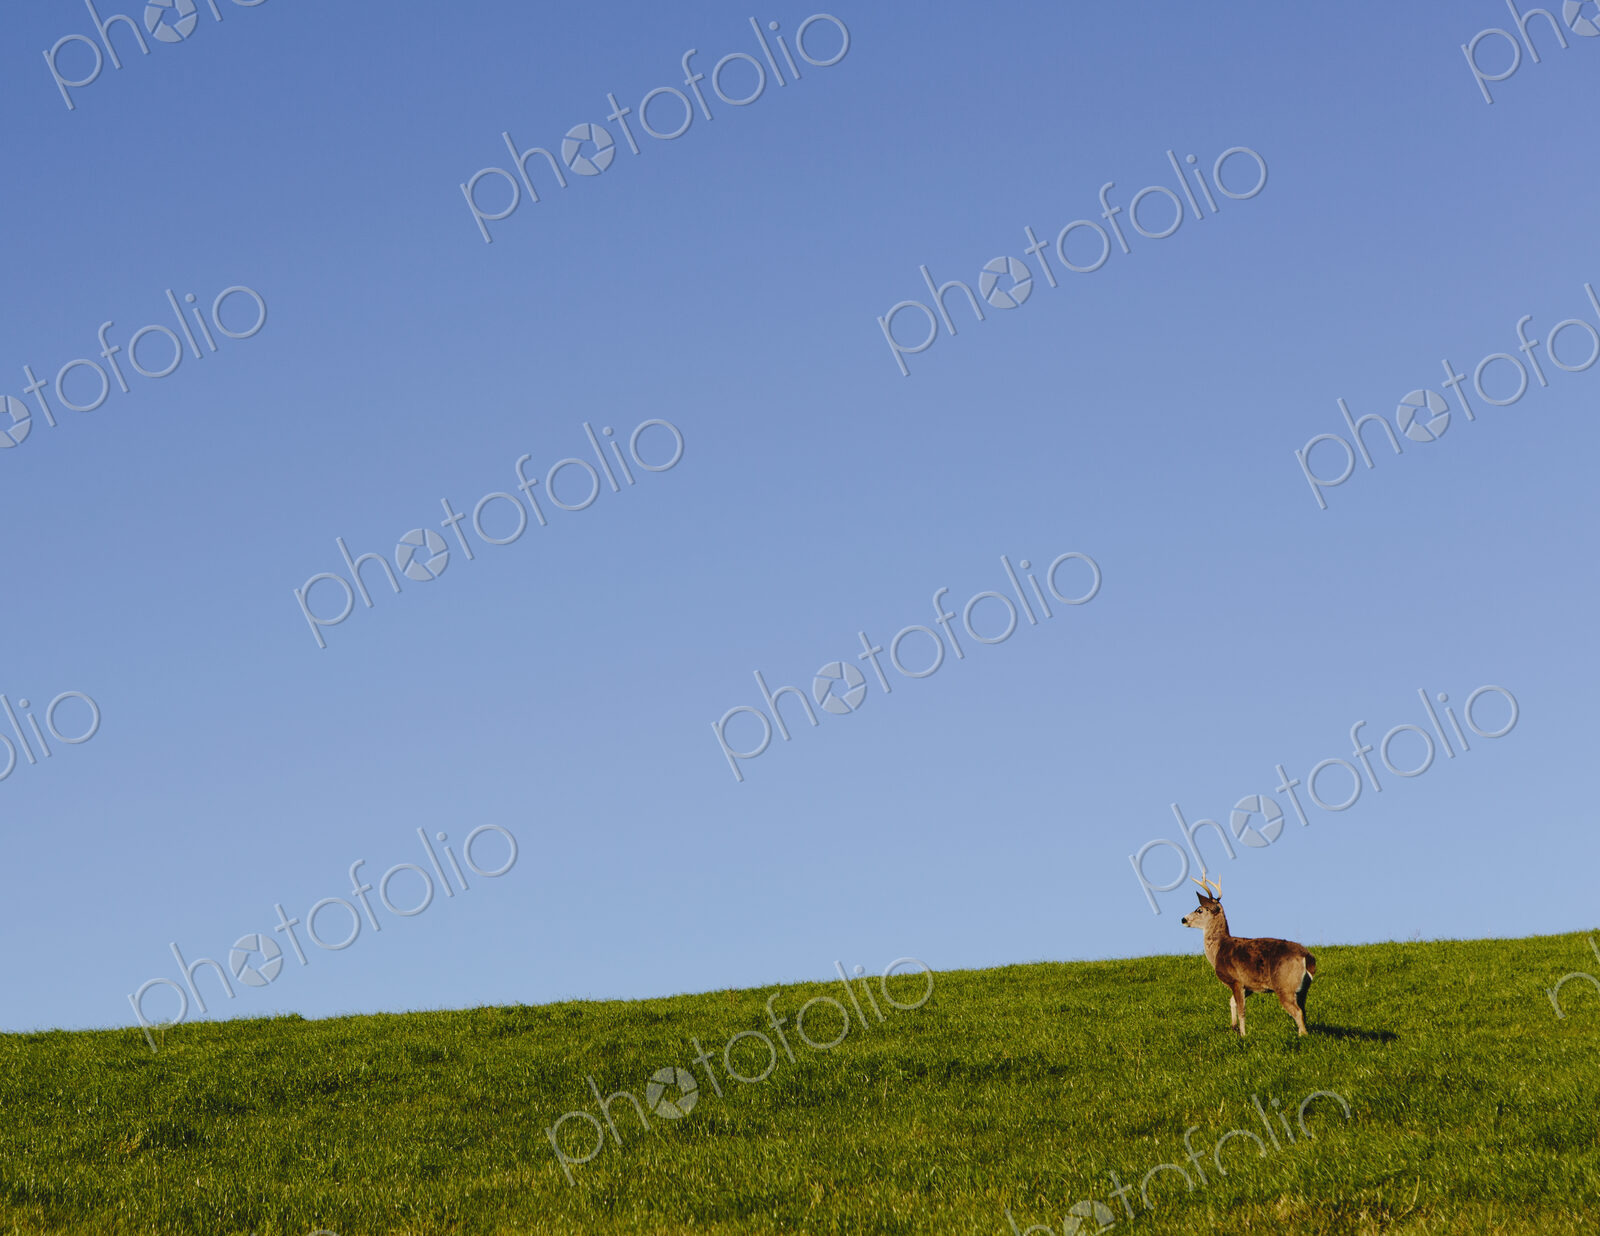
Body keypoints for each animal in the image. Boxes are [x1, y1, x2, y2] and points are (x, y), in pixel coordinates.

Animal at [1181, 873, 1315, 1037]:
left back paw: (1301, 1036)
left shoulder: (1235, 980)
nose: (1183, 919)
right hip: (1302, 988)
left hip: (1284, 984)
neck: (1219, 949)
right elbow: (1231, 1002)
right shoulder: (1249, 985)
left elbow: (1242, 1010)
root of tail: (1307, 957)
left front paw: (1243, 1035)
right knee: (1303, 1011)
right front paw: (1233, 1027)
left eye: (1199, 910)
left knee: (1297, 1012)